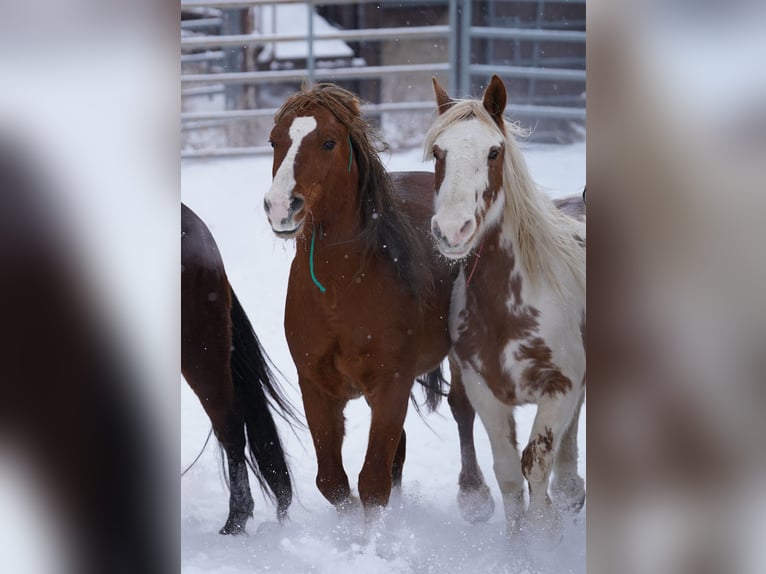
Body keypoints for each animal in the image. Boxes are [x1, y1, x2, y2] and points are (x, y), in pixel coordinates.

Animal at [262, 82, 492, 516]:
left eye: (329, 142)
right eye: (275, 141)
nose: (282, 207)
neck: (341, 290)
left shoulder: (390, 385)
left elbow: (372, 484)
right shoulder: (316, 387)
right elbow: (333, 482)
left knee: (462, 409)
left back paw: (475, 496)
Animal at [426, 76, 588, 540]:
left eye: (493, 152)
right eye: (438, 153)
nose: (452, 230)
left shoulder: (560, 387)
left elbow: (535, 462)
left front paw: (546, 534)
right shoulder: (485, 391)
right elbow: (509, 474)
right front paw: (518, 547)